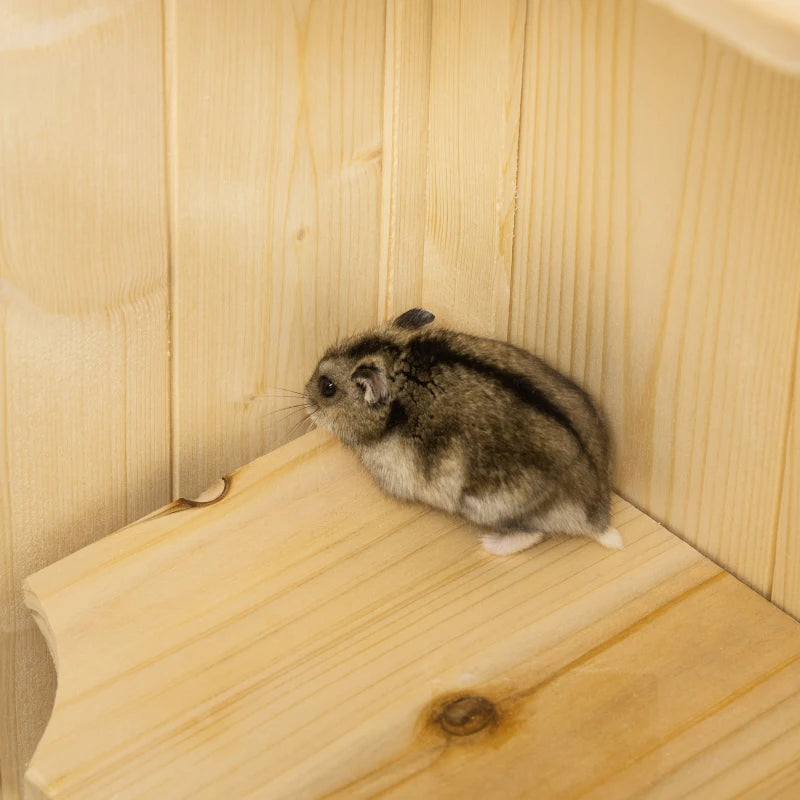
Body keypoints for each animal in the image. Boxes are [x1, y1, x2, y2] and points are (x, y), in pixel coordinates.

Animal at [304, 308, 622, 555]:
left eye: (327, 387)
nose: (304, 397)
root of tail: (598, 515)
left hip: (493, 505)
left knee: (531, 533)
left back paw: (489, 544)